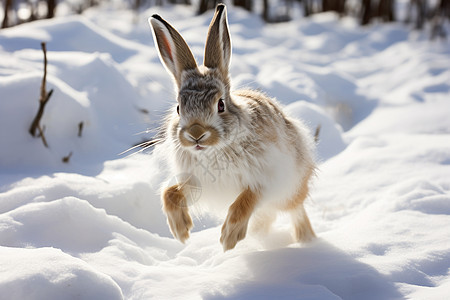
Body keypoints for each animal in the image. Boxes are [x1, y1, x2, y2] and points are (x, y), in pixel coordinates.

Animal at [149, 4, 314, 251]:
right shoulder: (195, 182)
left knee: (295, 211)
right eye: (179, 108)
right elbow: (170, 193)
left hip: (291, 189)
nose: (196, 134)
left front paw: (229, 238)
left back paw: (306, 240)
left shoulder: (265, 179)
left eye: (220, 104)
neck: (215, 150)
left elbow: (245, 201)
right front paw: (181, 231)